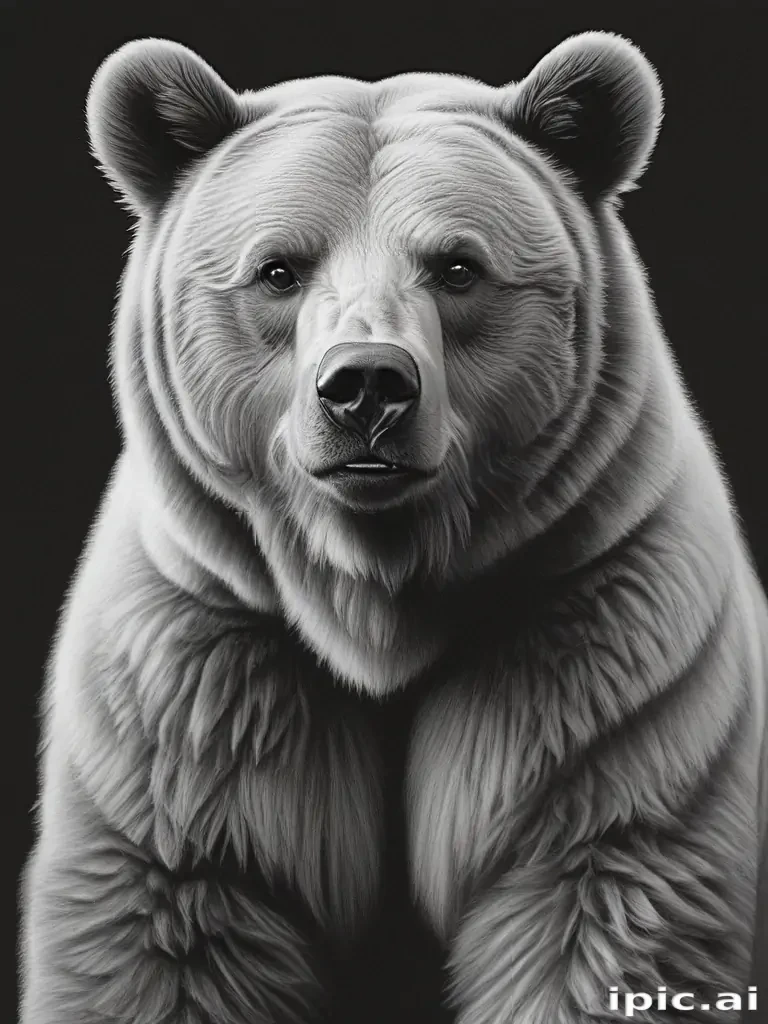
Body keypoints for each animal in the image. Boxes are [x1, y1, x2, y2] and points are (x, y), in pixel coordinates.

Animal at [18, 29, 768, 1024]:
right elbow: (170, 926)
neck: (374, 598)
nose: (366, 385)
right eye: (279, 268)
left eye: (458, 265)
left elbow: (606, 905)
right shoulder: (200, 675)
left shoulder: (594, 656)